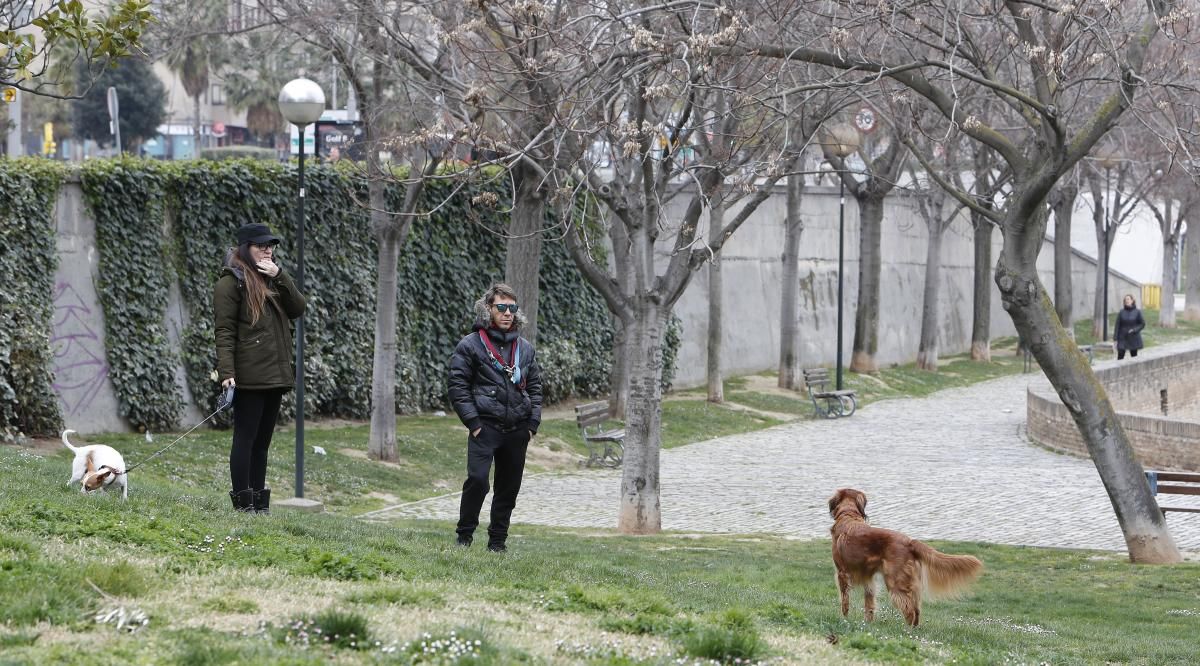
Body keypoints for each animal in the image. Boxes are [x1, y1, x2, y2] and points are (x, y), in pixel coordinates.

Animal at [830, 489, 979, 624]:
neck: (848, 515)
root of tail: (909, 542)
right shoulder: (868, 578)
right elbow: (869, 604)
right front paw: (868, 623)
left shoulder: (842, 573)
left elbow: (844, 601)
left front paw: (844, 619)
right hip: (911, 584)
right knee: (917, 610)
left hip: (894, 582)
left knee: (909, 611)